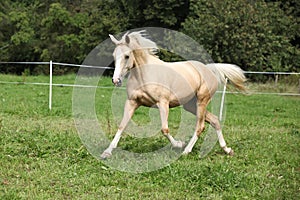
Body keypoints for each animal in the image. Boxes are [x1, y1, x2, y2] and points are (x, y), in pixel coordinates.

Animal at [99, 30, 245, 159]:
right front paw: (107, 152)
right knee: (215, 120)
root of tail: (208, 69)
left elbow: (164, 129)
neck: (144, 74)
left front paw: (179, 144)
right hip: (190, 105)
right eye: (113, 56)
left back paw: (186, 151)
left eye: (127, 56)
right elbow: (121, 126)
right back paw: (227, 150)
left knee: (200, 126)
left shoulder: (163, 103)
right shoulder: (132, 102)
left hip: (202, 101)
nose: (116, 80)